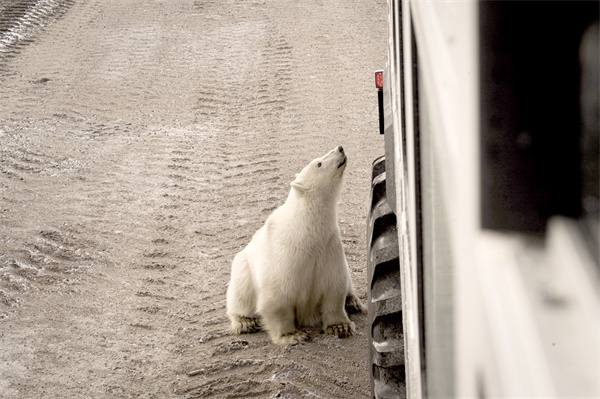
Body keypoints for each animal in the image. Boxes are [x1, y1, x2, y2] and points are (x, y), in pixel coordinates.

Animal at [226, 145, 364, 346]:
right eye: (319, 163)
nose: (340, 148)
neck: (306, 231)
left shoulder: (329, 248)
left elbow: (334, 286)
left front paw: (340, 326)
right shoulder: (285, 255)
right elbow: (277, 298)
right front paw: (292, 335)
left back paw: (353, 302)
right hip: (242, 268)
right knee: (240, 295)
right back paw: (245, 322)